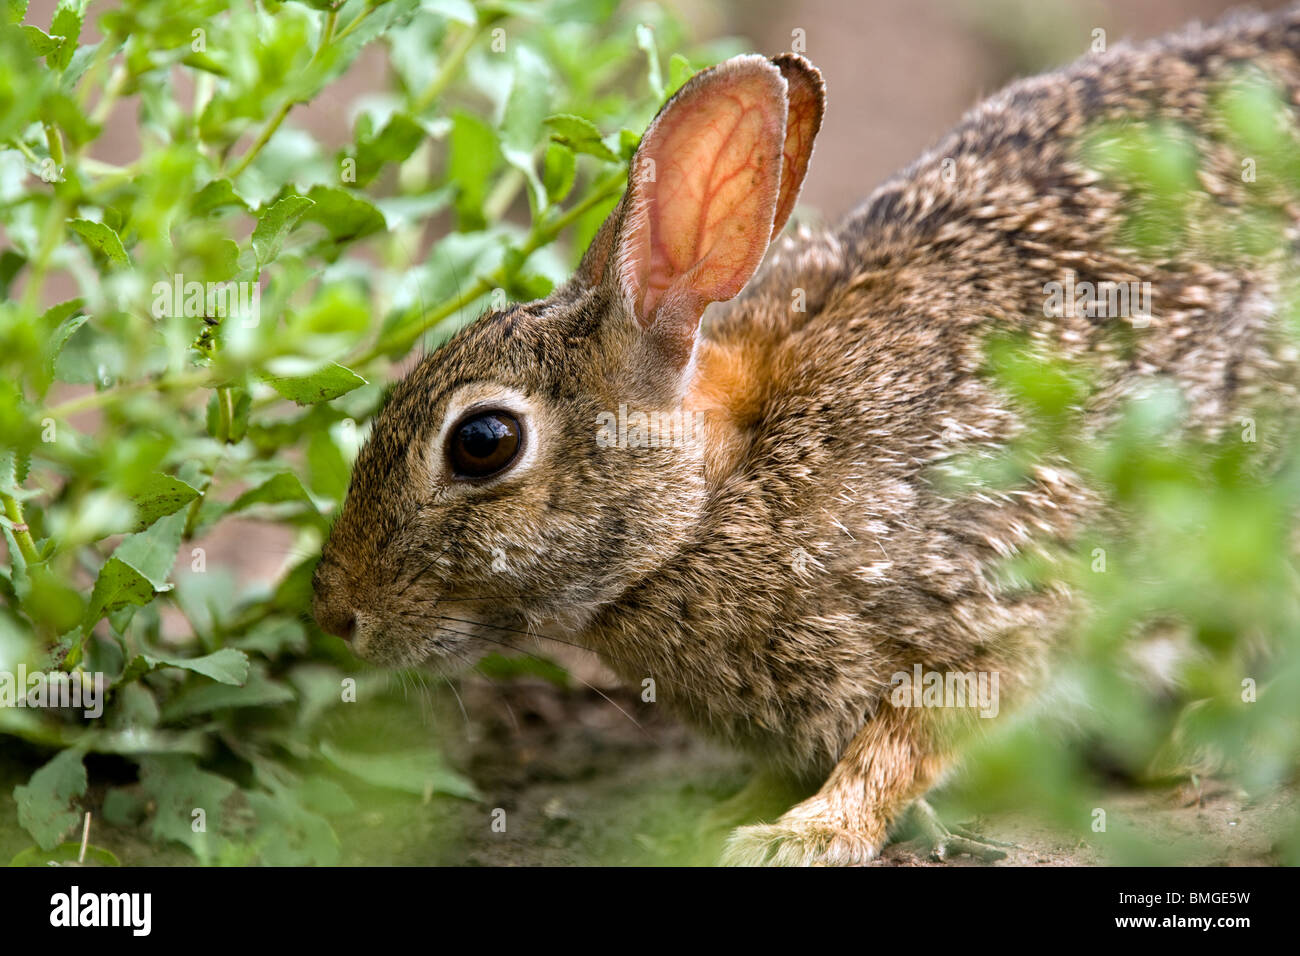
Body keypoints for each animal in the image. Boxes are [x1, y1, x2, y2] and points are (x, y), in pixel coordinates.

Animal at [314, 7, 1300, 868]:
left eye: (482, 441)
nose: (336, 616)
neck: (724, 484)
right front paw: (737, 810)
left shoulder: (998, 600)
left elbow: (907, 742)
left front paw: (804, 834)